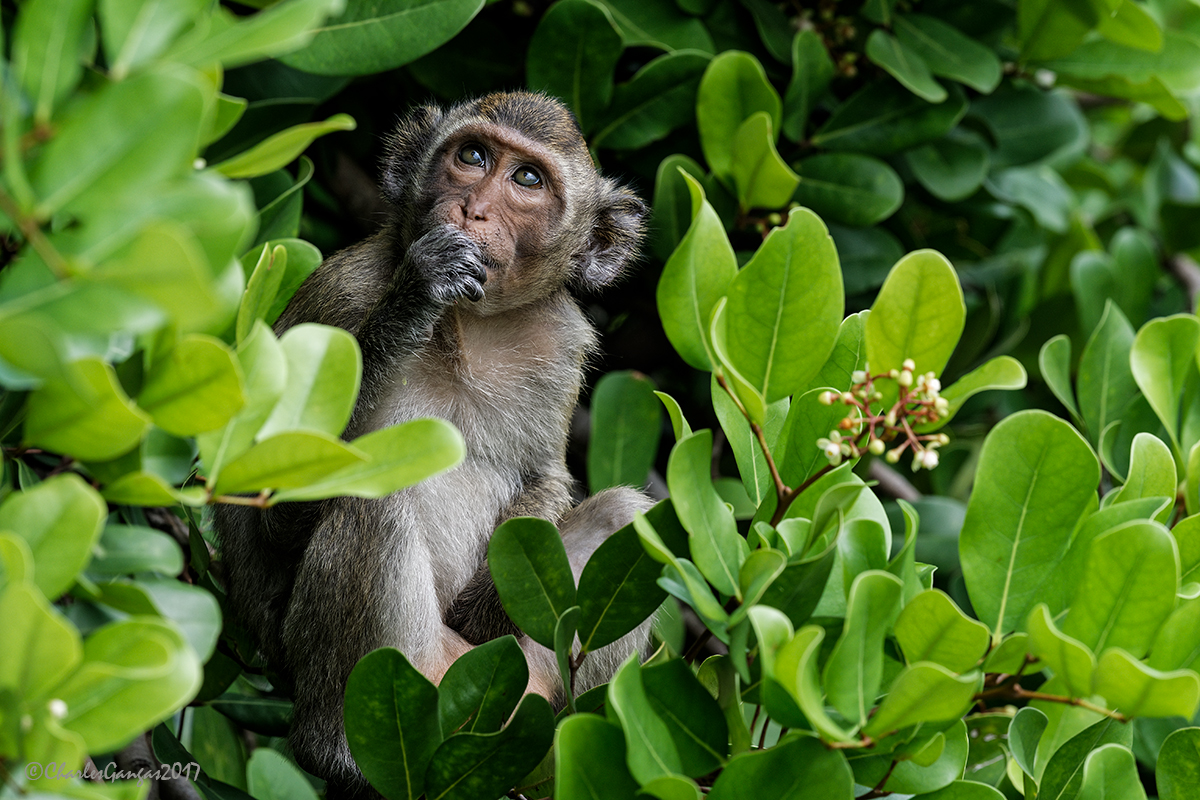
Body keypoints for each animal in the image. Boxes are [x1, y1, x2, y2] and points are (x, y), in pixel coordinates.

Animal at [213, 92, 654, 797]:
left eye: (527, 179)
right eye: (471, 156)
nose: (473, 210)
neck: (473, 324)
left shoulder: (561, 343)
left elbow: (547, 476)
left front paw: (496, 591)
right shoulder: (341, 295)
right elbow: (275, 507)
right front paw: (418, 291)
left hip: (519, 675)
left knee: (626, 515)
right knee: (372, 504)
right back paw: (336, 751)